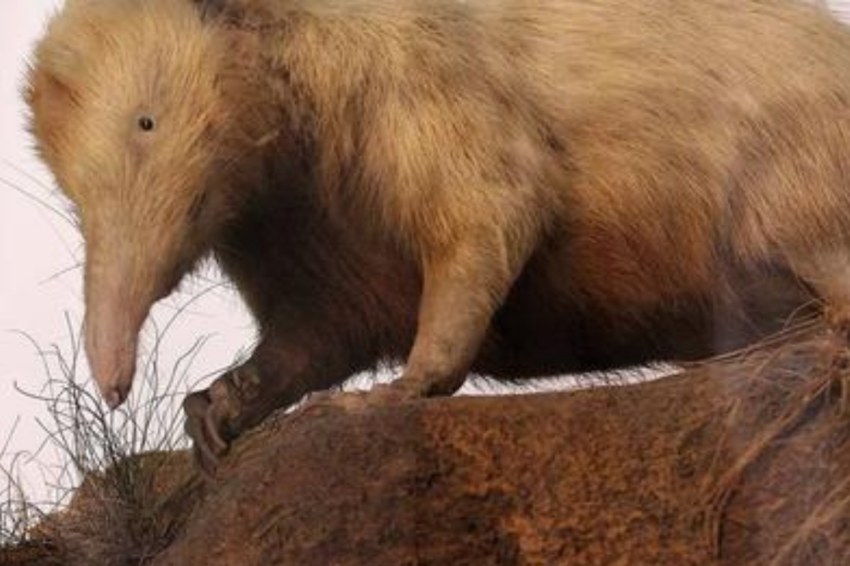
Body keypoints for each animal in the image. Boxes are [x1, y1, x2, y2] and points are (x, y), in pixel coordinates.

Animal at [25, 0, 850, 470]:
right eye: (66, 183)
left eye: (145, 121)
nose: (113, 383)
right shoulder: (288, 225)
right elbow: (315, 335)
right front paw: (218, 407)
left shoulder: (413, 77)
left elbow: (498, 203)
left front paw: (390, 394)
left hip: (791, 188)